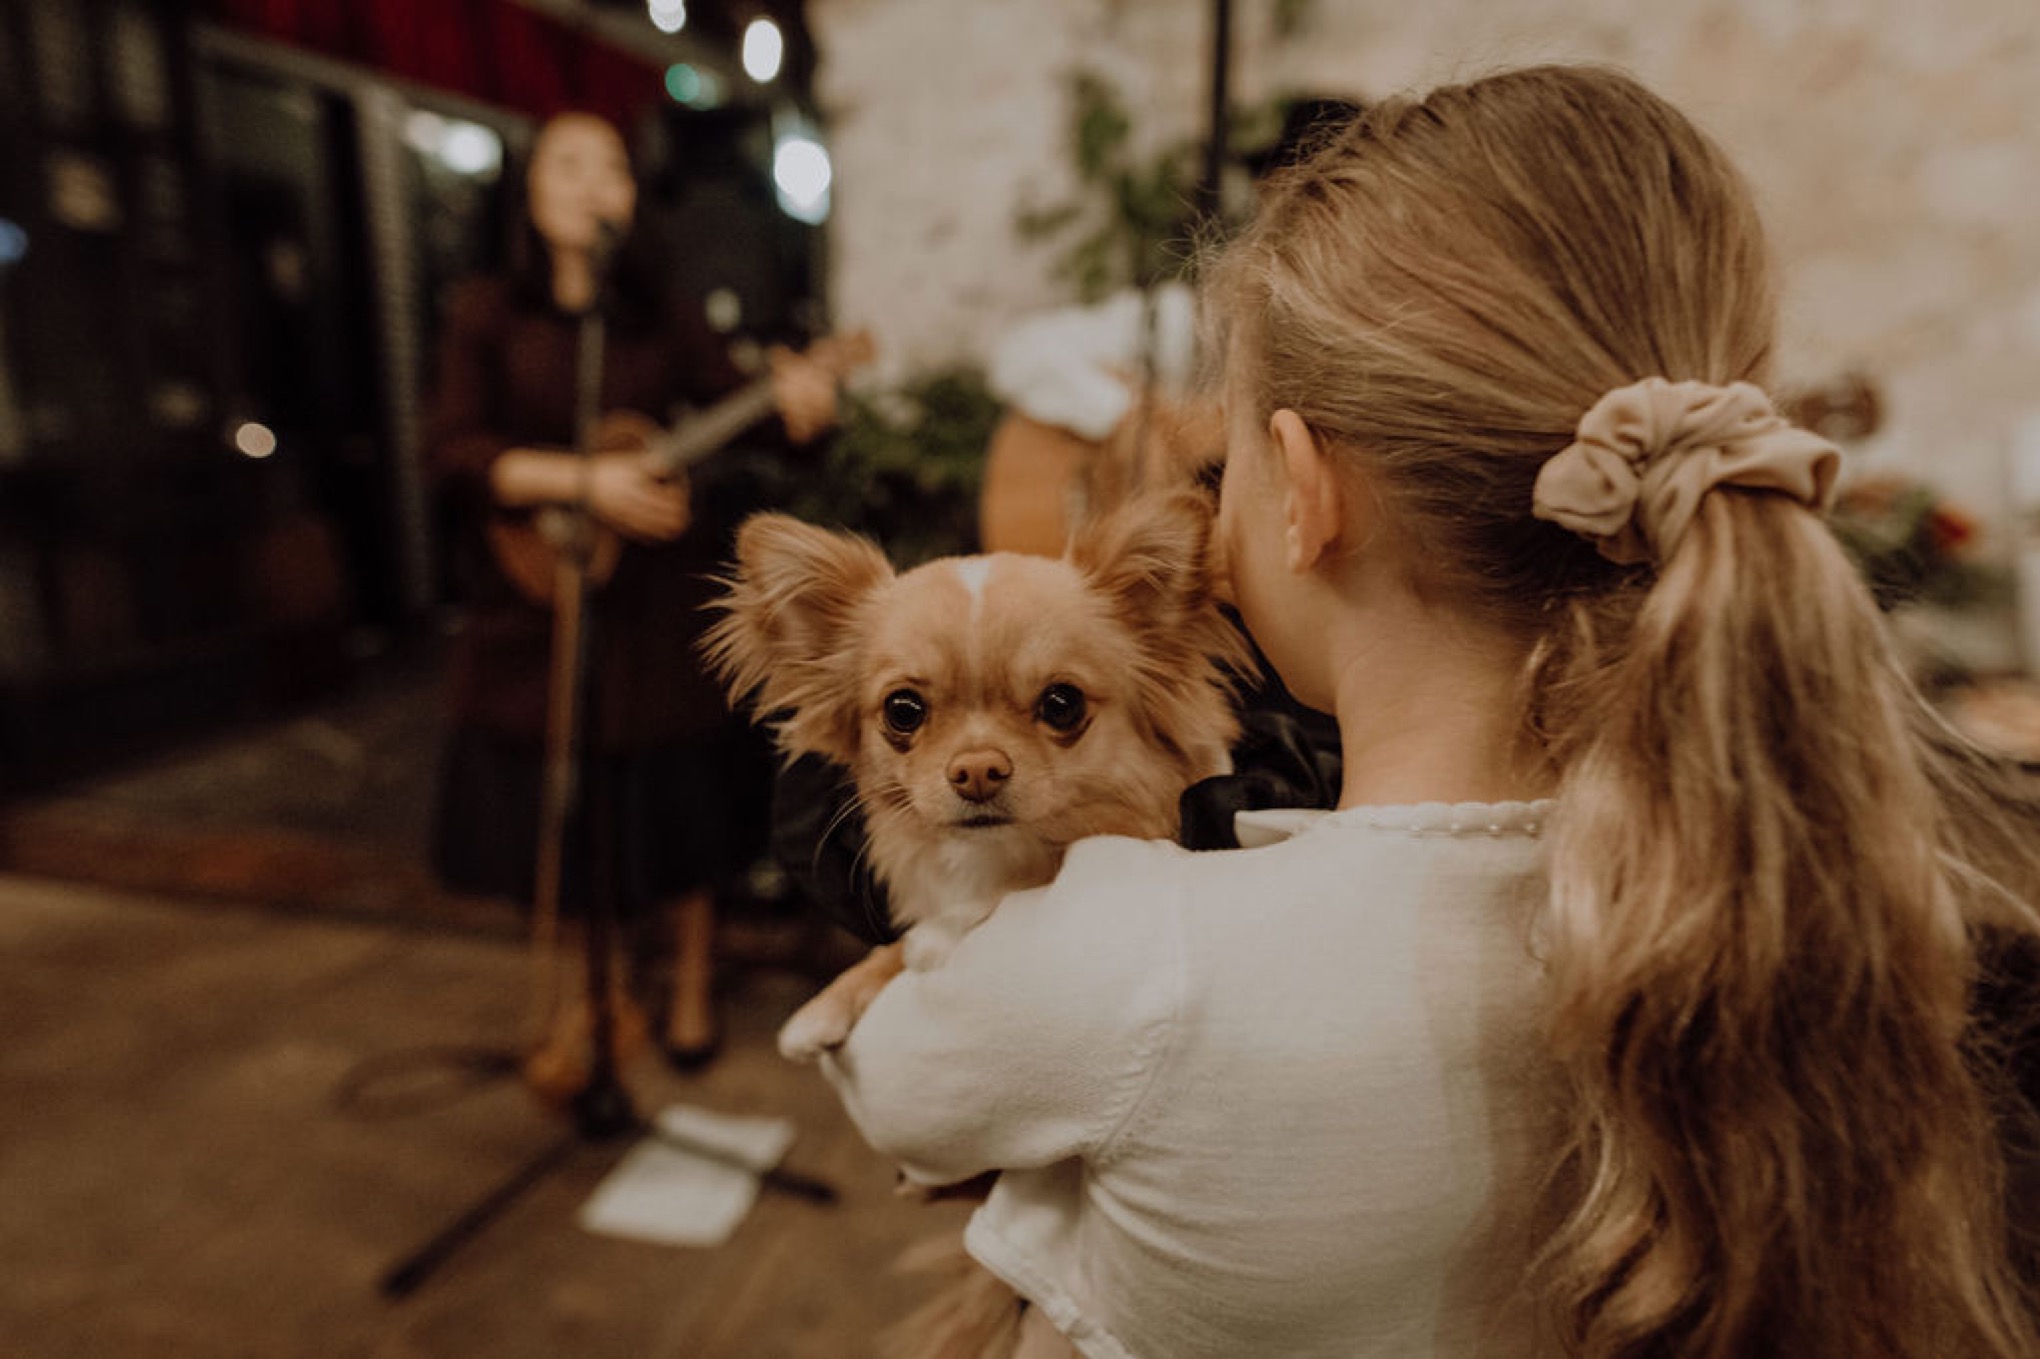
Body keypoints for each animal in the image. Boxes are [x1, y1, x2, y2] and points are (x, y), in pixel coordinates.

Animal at [701, 487, 1240, 1061]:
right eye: (903, 710)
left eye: (1062, 703)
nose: (977, 770)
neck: (997, 861)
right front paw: (829, 1001)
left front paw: (934, 938)